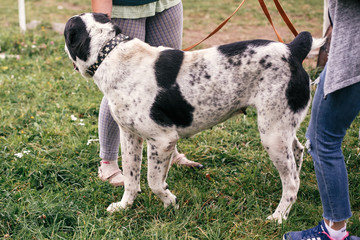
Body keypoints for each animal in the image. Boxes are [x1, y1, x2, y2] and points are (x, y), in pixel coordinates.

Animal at [65, 12, 326, 223]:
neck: (111, 54)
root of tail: (293, 49)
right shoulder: (130, 136)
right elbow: (131, 178)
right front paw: (124, 206)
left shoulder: (162, 140)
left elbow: (153, 181)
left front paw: (169, 201)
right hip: (282, 128)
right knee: (297, 155)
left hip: (272, 134)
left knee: (292, 181)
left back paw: (278, 217)